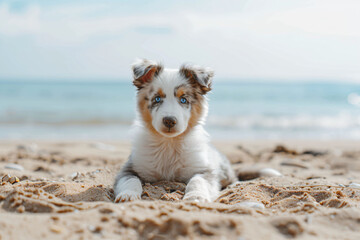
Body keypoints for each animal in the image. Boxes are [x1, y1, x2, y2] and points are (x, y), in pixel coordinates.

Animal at [113, 58, 236, 202]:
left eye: (183, 99)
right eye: (157, 99)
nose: (169, 120)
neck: (169, 143)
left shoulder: (204, 170)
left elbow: (197, 180)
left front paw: (195, 196)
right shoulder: (130, 167)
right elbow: (130, 180)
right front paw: (128, 195)